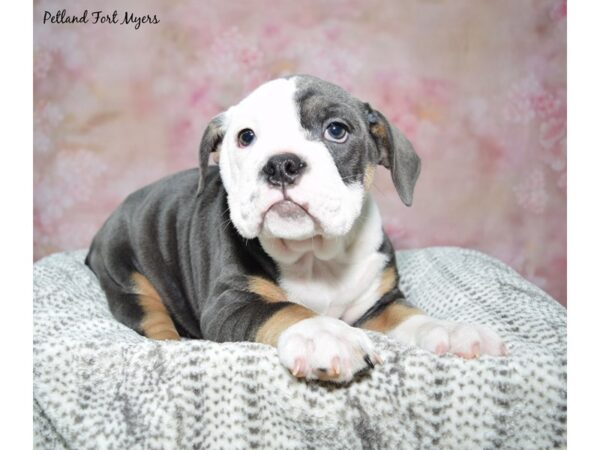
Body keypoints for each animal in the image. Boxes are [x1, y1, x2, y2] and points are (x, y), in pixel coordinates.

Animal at [84, 74, 506, 384]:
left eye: (336, 130)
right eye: (246, 137)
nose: (281, 164)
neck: (314, 254)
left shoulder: (379, 302)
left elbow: (410, 316)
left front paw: (453, 332)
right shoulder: (231, 303)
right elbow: (287, 310)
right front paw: (324, 334)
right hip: (128, 278)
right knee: (154, 320)